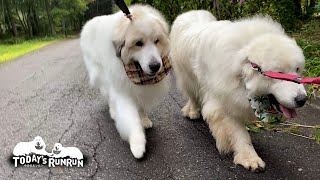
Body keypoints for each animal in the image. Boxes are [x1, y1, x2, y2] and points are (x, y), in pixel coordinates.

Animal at [80, 4, 170, 159]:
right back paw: (113, 112)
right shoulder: (122, 90)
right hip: (102, 75)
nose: (155, 66)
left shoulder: (139, 89)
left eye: (157, 41)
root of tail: (89, 23)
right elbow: (130, 119)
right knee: (110, 96)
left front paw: (144, 119)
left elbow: (141, 107)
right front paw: (137, 144)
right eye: (138, 43)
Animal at [170, 10, 308, 172]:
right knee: (192, 95)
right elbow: (239, 134)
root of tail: (190, 12)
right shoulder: (223, 103)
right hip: (187, 77)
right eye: (279, 74)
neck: (240, 65)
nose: (302, 99)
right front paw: (249, 157)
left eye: (297, 69)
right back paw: (192, 111)